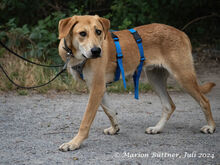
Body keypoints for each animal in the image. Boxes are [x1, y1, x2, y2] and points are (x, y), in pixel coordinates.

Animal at [57, 14, 217, 151]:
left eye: (98, 31)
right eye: (82, 33)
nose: (96, 51)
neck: (76, 56)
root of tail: (181, 33)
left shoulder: (97, 87)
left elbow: (86, 121)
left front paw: (74, 143)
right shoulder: (97, 88)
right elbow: (110, 111)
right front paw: (115, 128)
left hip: (183, 77)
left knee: (204, 101)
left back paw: (211, 127)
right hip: (155, 79)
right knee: (169, 105)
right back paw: (157, 128)